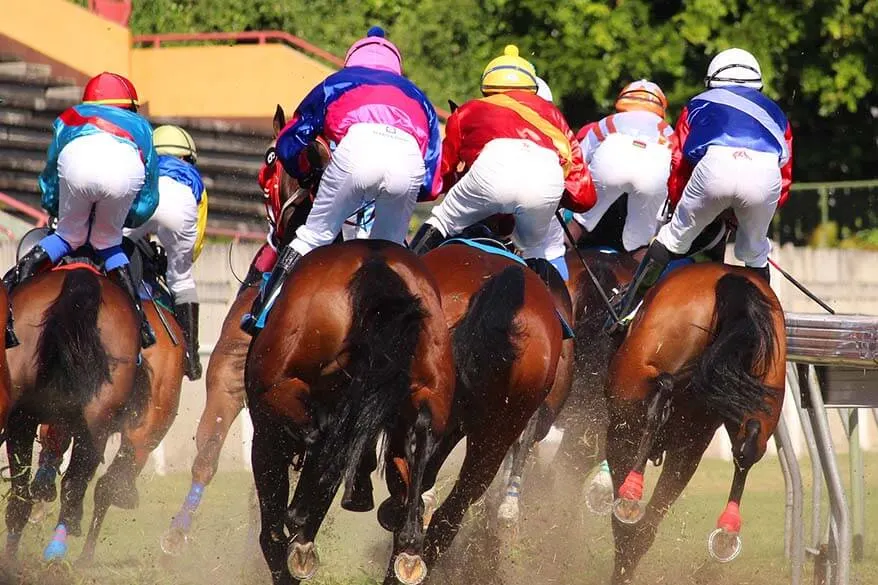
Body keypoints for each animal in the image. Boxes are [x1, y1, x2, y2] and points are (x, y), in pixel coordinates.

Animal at [3, 266, 141, 560]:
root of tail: (81, 278)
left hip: (24, 417)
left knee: (24, 497)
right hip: (93, 423)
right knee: (71, 487)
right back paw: (56, 553)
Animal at [246, 237, 454, 584]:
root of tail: (376, 263)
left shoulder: (267, 431)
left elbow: (271, 533)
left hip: (283, 394)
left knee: (321, 440)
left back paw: (300, 519)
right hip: (430, 387)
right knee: (420, 433)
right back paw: (410, 540)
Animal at [608, 262, 788, 580]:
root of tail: (731, 280)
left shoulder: (617, 433)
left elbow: (626, 529)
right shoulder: (687, 448)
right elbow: (643, 529)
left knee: (660, 395)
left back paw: (631, 495)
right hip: (765, 389)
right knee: (750, 443)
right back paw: (727, 532)